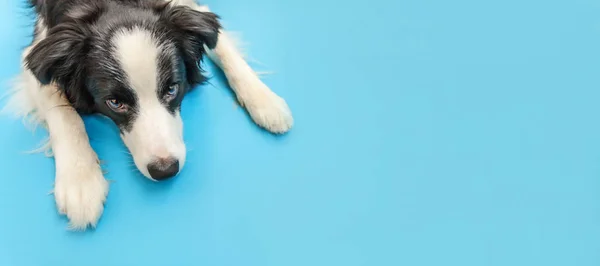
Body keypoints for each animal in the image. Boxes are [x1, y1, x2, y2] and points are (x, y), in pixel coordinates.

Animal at [7, 0, 292, 230]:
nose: (165, 171)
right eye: (115, 103)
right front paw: (81, 181)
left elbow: (220, 43)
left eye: (172, 88)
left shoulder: (191, 9)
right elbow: (63, 111)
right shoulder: (39, 51)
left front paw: (264, 99)